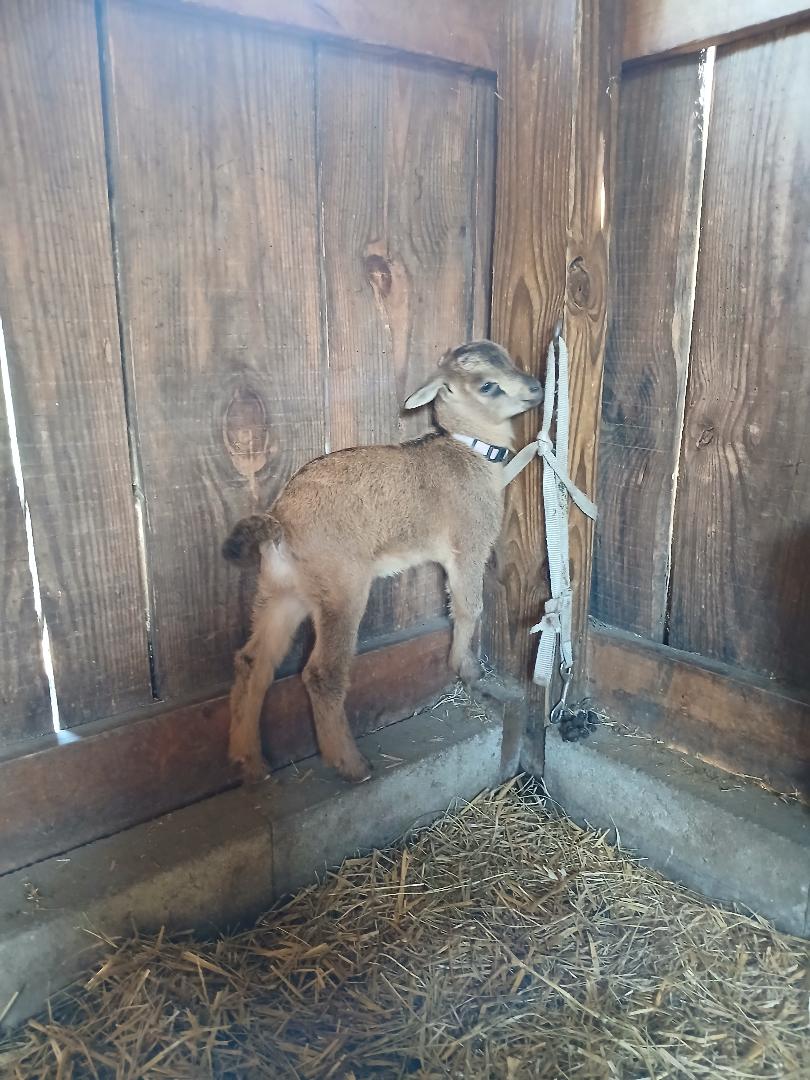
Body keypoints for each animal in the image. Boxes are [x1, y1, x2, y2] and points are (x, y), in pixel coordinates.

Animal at [222, 340, 543, 784]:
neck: (471, 454)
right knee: (321, 674)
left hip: (280, 591)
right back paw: (351, 764)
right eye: (488, 385)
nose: (536, 387)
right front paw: (465, 669)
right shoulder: (469, 544)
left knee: (252, 661)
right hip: (342, 587)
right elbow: (468, 608)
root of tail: (280, 523)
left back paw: (250, 762)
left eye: (509, 358)